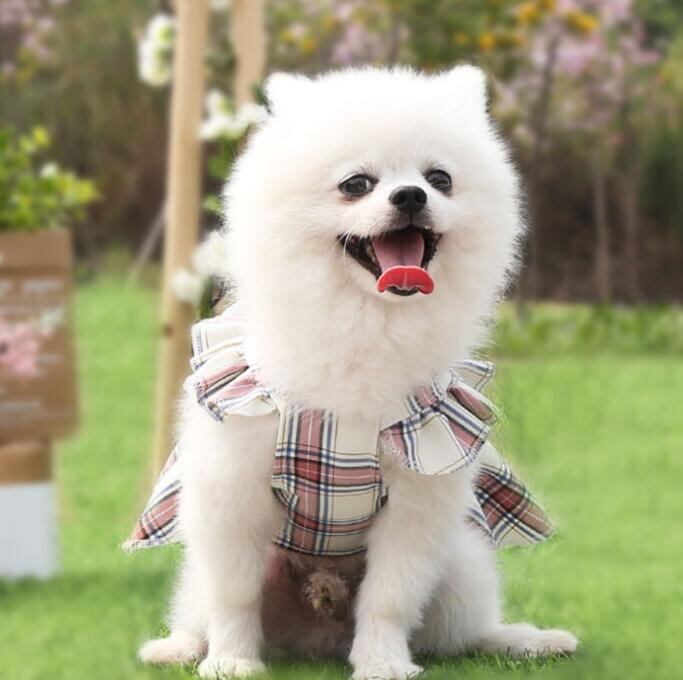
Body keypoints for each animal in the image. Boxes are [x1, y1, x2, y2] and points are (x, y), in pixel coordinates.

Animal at [135, 66, 577, 679]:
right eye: (355, 184)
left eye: (439, 178)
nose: (411, 195)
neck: (367, 325)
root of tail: (316, 627)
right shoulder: (232, 489)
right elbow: (235, 594)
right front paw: (232, 661)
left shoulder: (418, 496)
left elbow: (390, 597)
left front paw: (383, 662)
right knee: (202, 605)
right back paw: (179, 646)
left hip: (461, 562)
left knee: (465, 632)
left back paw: (522, 640)